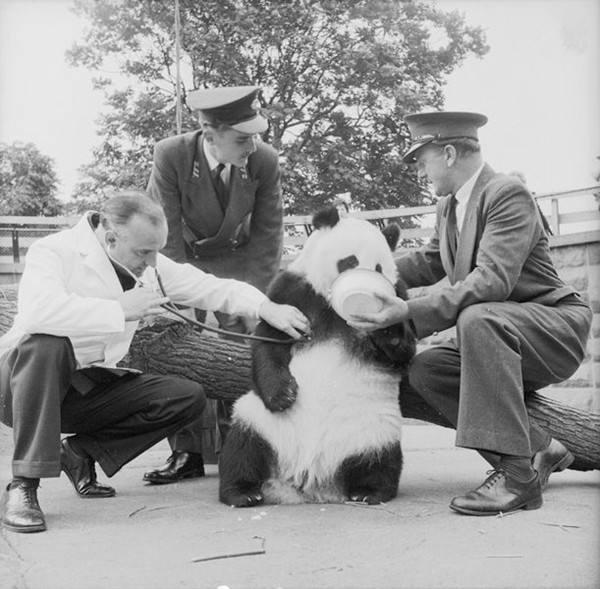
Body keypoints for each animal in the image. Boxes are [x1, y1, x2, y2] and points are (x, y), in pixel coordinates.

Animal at [218, 206, 416, 507]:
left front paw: (383, 322)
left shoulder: (399, 293)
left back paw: (368, 492)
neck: (334, 305)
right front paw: (284, 395)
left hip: (374, 429)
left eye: (379, 268)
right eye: (349, 261)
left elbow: (403, 352)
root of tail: (309, 482)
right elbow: (270, 341)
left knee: (380, 460)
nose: (365, 287)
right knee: (243, 447)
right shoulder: (293, 291)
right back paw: (243, 492)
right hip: (261, 421)